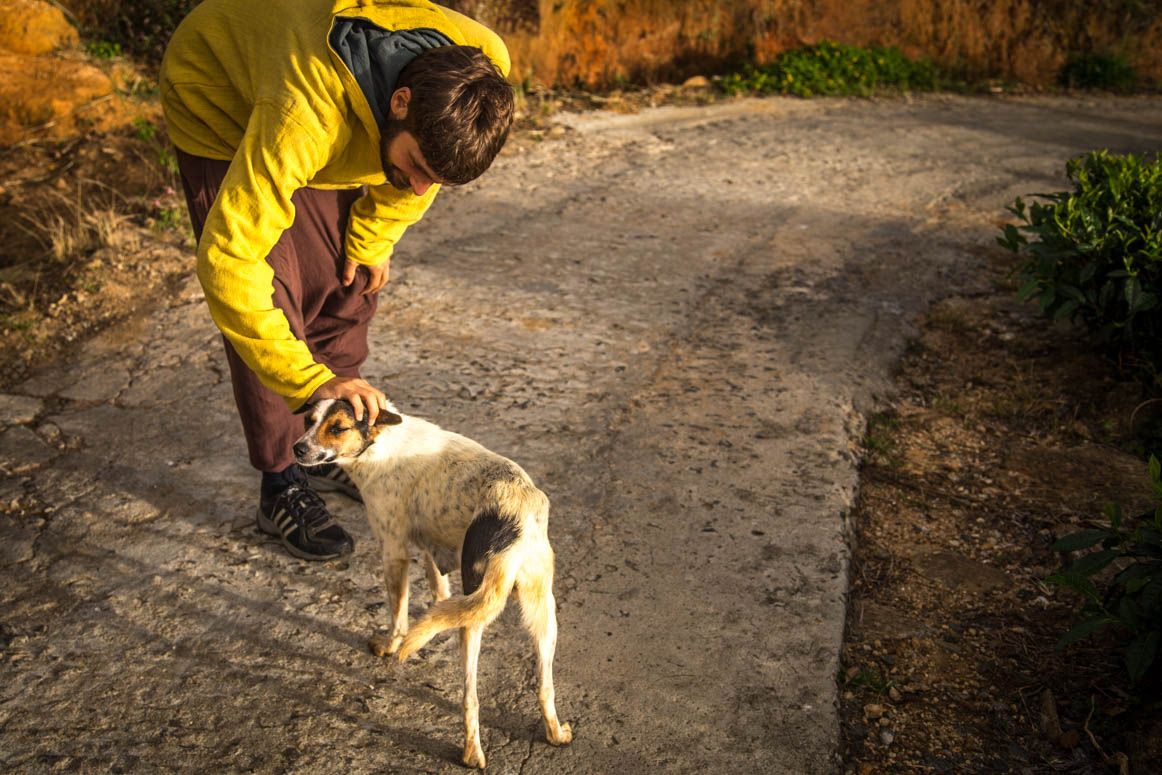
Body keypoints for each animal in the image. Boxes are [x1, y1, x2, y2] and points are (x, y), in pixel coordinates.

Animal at [290, 399, 571, 771]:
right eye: (309, 420)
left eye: (337, 428)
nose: (297, 448)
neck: (381, 442)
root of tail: (517, 522)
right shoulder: (431, 548)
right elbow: (439, 590)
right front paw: (432, 617)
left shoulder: (393, 550)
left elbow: (398, 613)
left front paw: (391, 645)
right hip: (544, 615)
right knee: (545, 687)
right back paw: (555, 733)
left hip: (475, 617)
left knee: (471, 698)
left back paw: (471, 752)